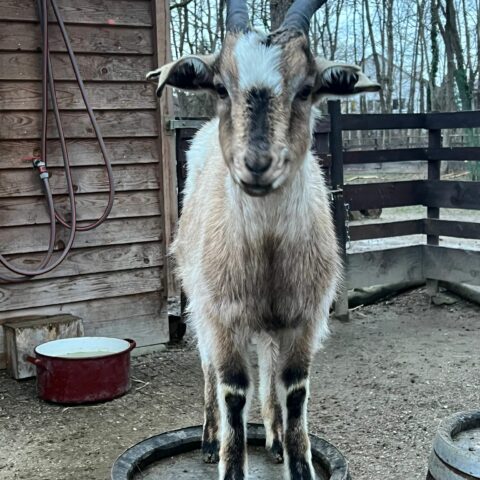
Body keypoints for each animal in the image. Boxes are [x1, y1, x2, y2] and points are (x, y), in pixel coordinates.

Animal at [146, 1, 378, 478]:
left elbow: (295, 393)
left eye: (307, 89)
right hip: (200, 303)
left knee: (269, 364)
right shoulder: (222, 316)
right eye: (219, 86)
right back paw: (208, 439)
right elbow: (233, 392)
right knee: (208, 367)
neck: (268, 256)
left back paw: (271, 437)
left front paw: (295, 457)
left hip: (274, 321)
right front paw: (227, 457)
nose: (256, 163)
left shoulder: (305, 318)